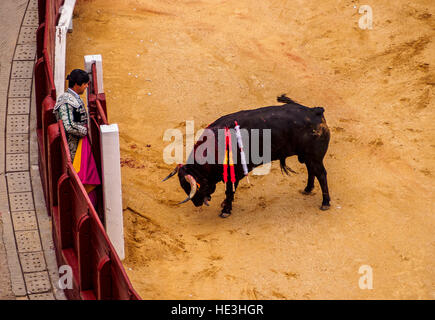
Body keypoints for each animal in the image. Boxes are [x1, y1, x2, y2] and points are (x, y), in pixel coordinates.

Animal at [163, 95, 330, 218]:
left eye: (194, 186)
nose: (197, 203)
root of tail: (315, 111)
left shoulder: (234, 173)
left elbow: (230, 190)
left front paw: (225, 210)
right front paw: (225, 205)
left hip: (314, 157)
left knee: (321, 174)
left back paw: (325, 203)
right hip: (307, 156)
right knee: (312, 171)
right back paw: (307, 189)